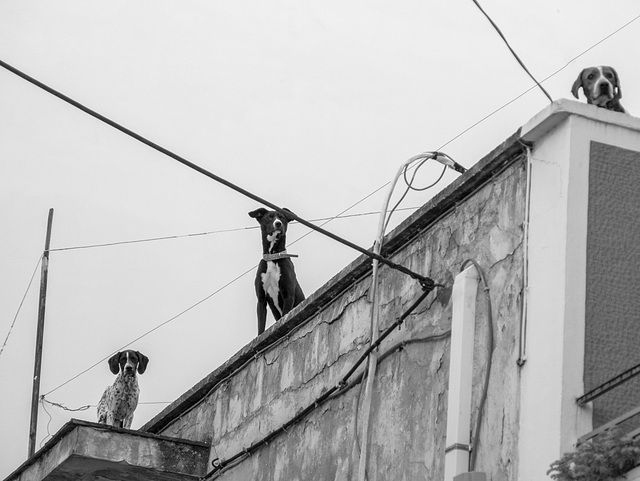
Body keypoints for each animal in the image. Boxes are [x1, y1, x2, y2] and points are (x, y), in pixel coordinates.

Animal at [248, 208, 304, 336]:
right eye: (270, 217)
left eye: (282, 217)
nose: (278, 223)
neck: (273, 257)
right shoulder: (261, 299)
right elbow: (261, 327)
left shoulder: (288, 295)